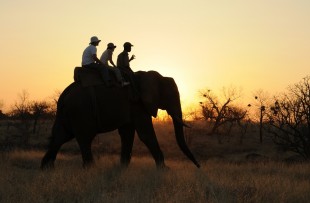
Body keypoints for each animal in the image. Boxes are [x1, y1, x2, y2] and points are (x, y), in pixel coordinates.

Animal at [41, 70, 200, 168]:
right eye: (170, 96)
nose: (199, 166)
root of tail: (63, 96)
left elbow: (127, 134)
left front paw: (122, 168)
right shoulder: (137, 104)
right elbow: (145, 134)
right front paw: (165, 170)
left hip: (67, 114)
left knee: (60, 136)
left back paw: (46, 168)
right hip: (80, 112)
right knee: (85, 138)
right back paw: (90, 169)